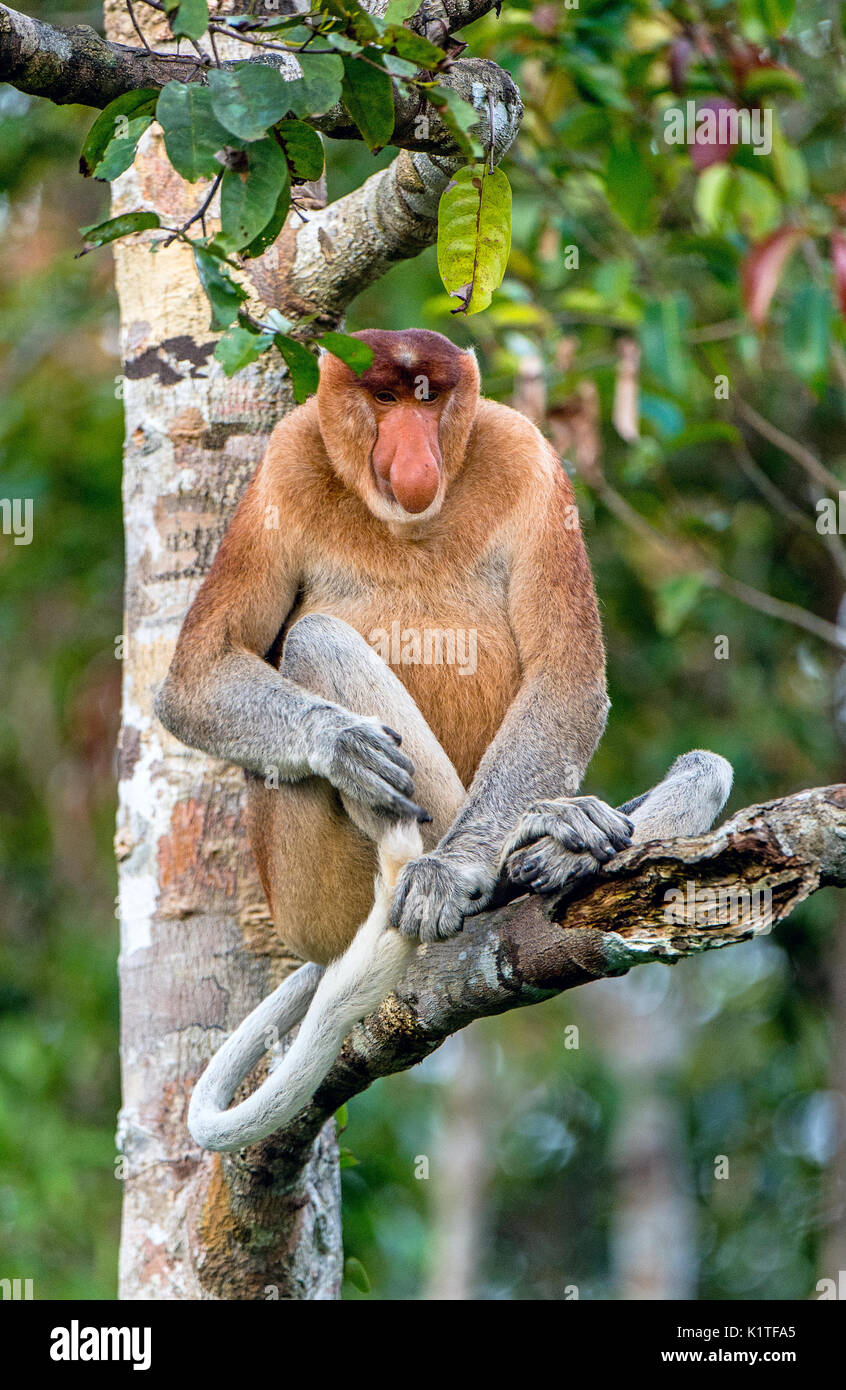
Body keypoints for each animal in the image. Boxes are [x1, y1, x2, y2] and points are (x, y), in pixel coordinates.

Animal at [155, 328, 733, 1152]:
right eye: (384, 398)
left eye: (429, 401)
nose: (414, 453)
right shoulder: (283, 465)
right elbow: (196, 674)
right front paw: (347, 752)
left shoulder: (526, 456)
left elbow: (565, 672)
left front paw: (470, 865)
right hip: (310, 897)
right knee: (316, 639)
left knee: (706, 766)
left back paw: (543, 847)